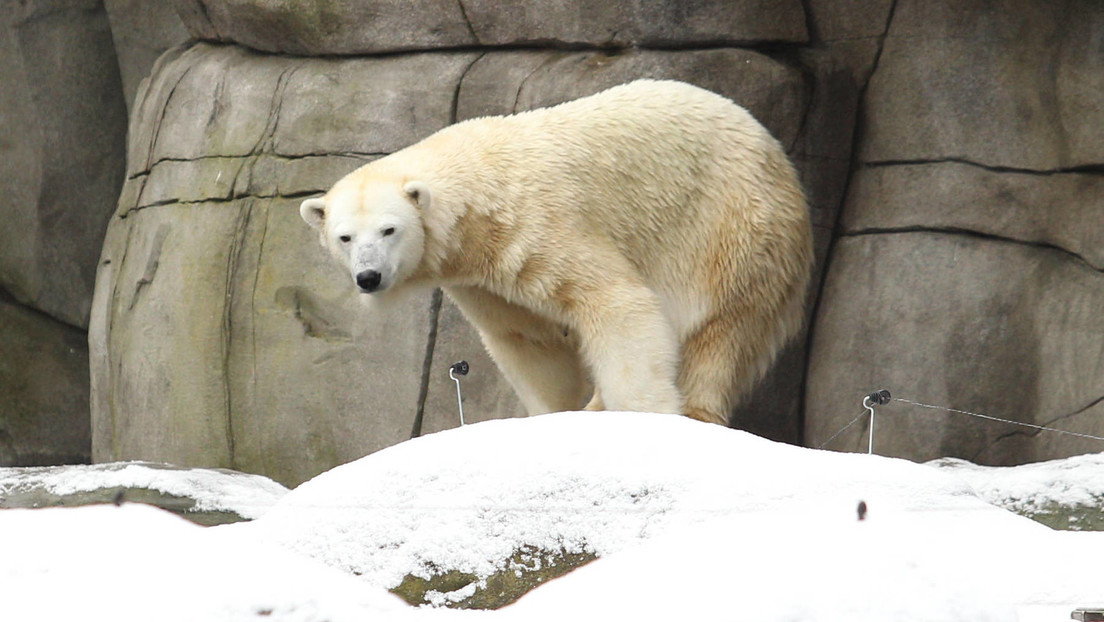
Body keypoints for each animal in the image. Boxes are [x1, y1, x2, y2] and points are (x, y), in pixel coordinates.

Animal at [300, 80, 812, 426]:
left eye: (389, 229)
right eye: (345, 237)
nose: (368, 277)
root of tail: (776, 153)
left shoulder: (541, 223)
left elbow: (616, 303)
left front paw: (642, 414)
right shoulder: (481, 274)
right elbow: (527, 340)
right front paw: (555, 414)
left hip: (732, 228)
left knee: (720, 327)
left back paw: (693, 409)